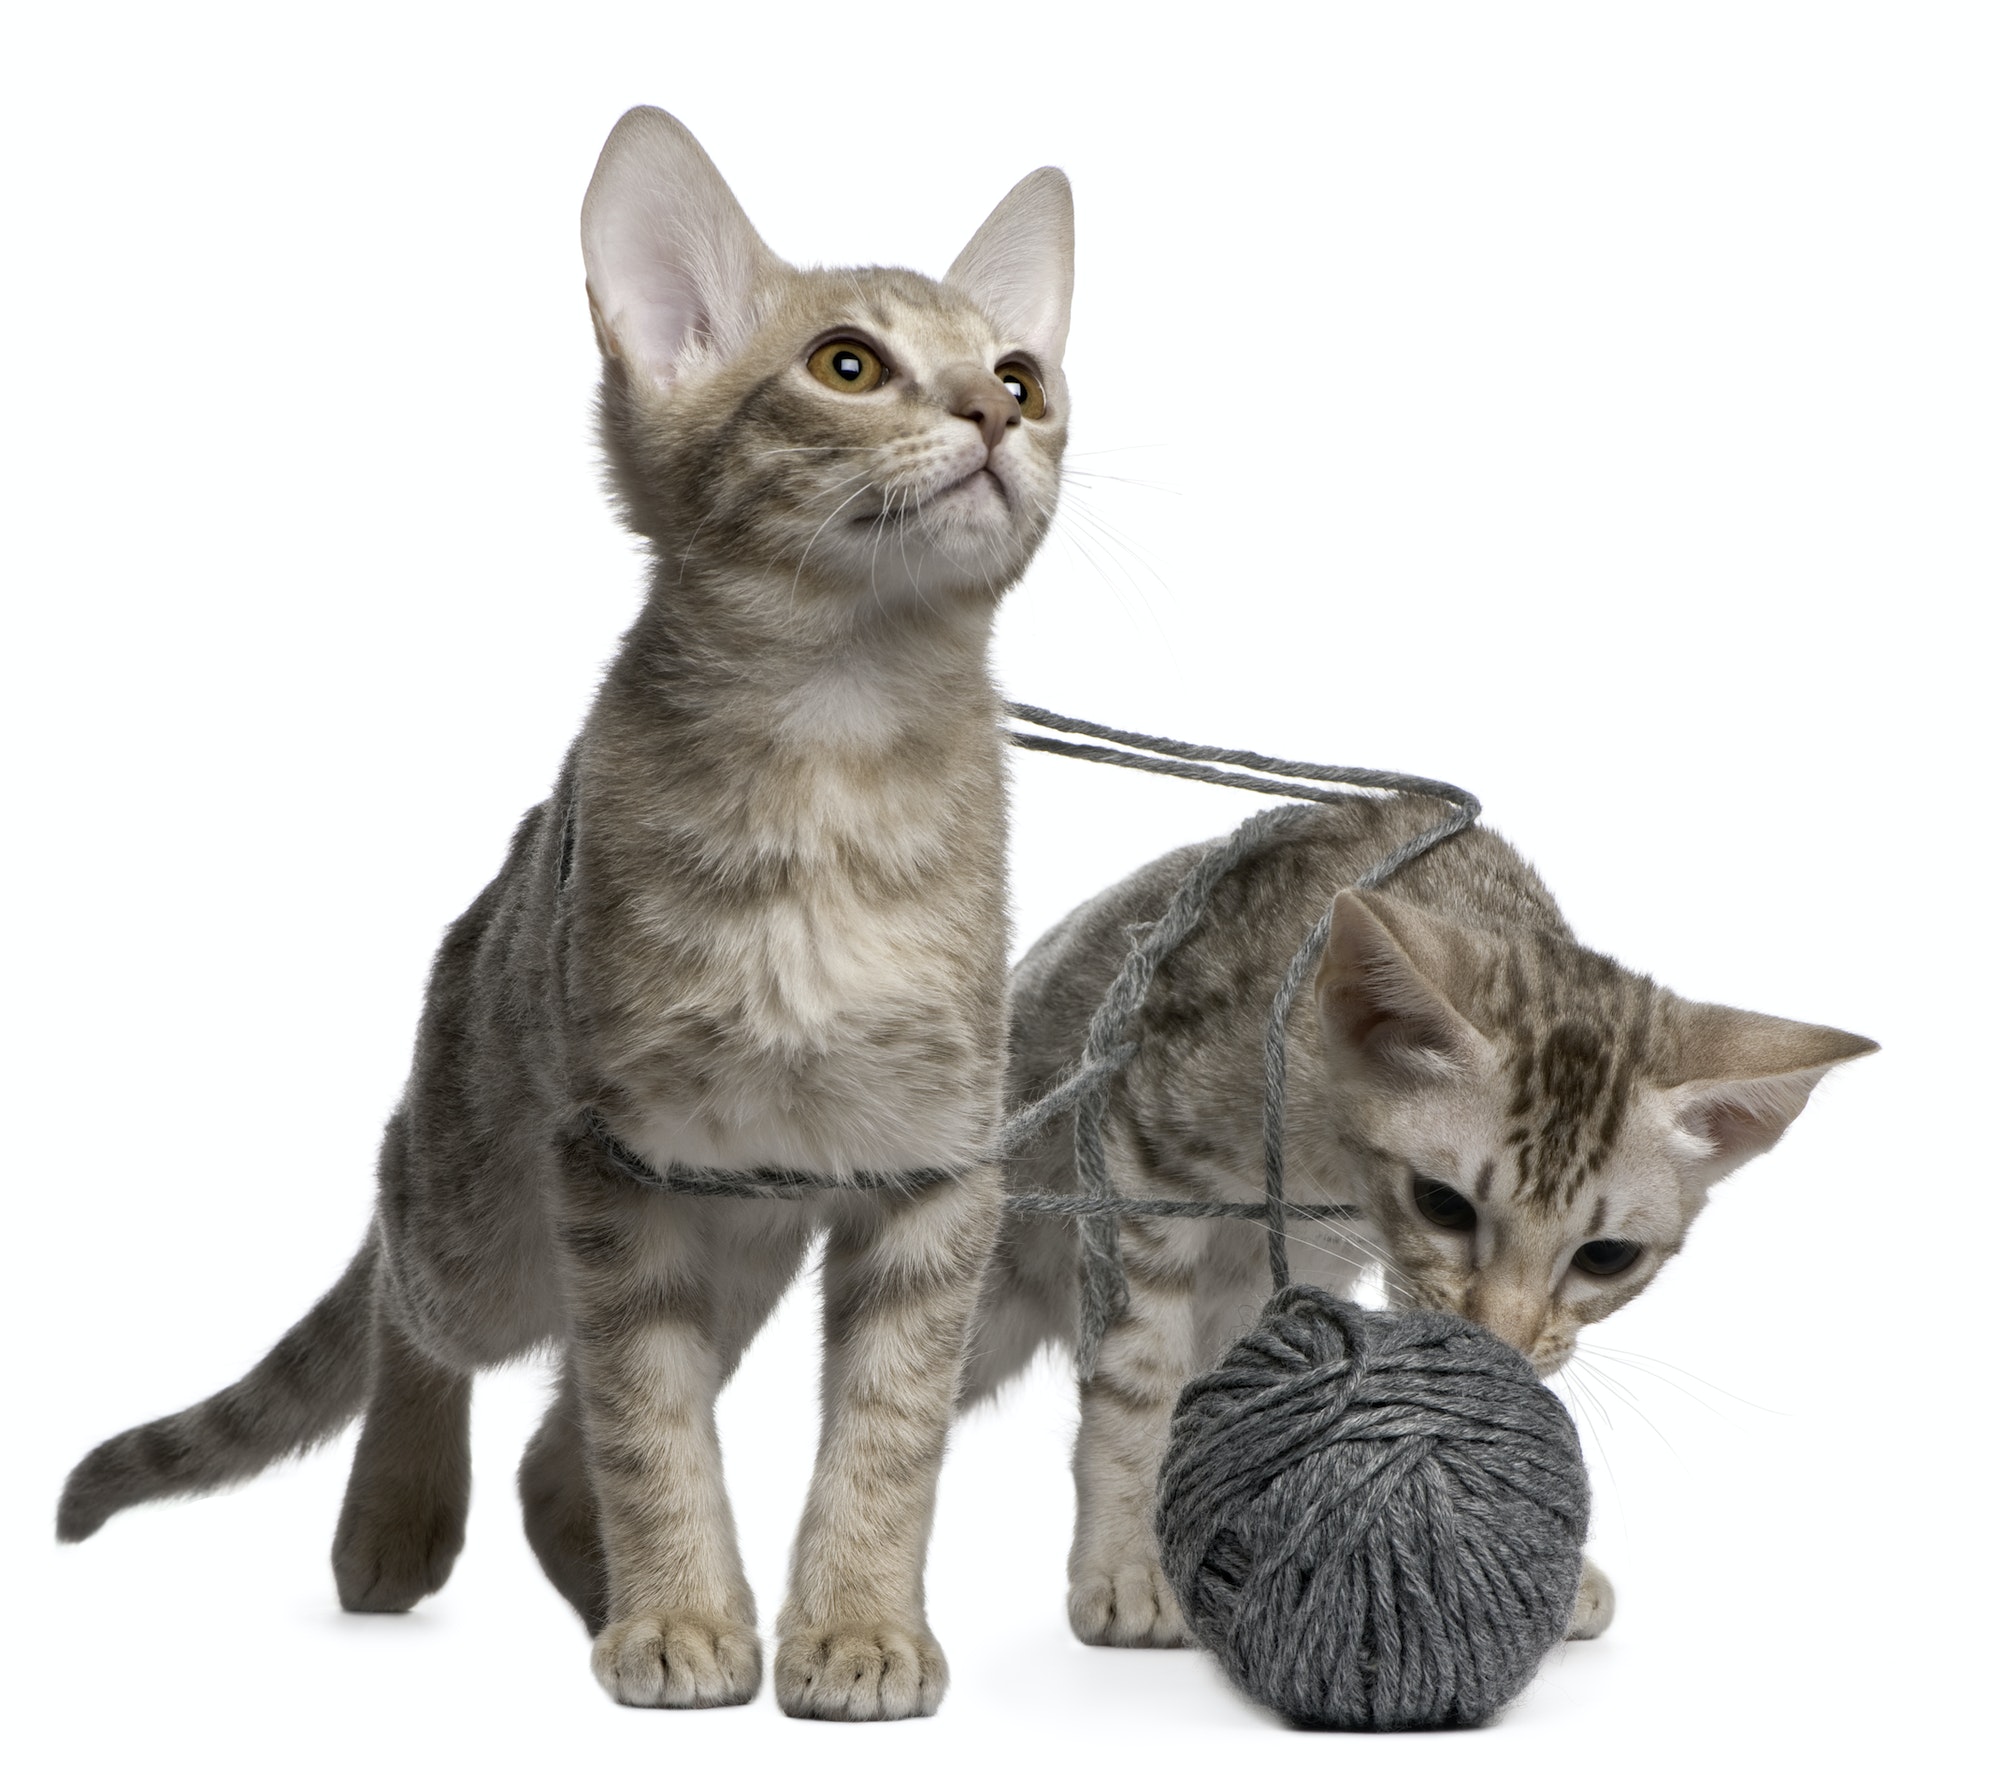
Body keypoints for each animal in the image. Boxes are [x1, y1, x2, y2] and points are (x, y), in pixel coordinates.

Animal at [54, 110, 1072, 1719]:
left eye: (1024, 373)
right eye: (847, 364)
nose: (994, 414)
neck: (836, 761)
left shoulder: (932, 1167)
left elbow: (884, 1432)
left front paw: (852, 1624)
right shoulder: (615, 1166)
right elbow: (649, 1427)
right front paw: (683, 1616)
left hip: (745, 1232)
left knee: (550, 1447)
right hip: (489, 1194)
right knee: (414, 1283)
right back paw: (400, 1513)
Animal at [968, 791, 1872, 1647]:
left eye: (1607, 1255)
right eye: (1444, 1203)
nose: (1501, 1337)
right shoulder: (1140, 1154)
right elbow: (1138, 1372)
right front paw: (1132, 1559)